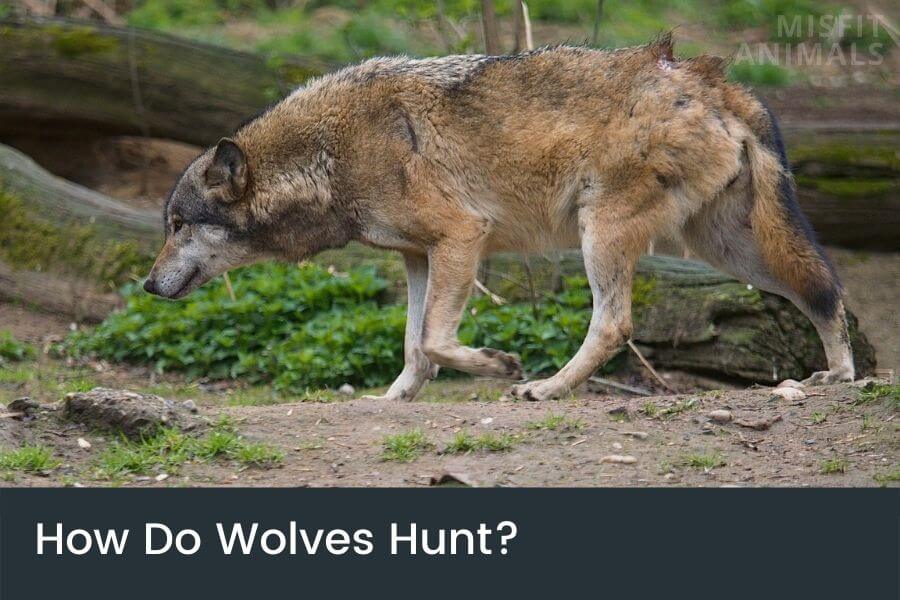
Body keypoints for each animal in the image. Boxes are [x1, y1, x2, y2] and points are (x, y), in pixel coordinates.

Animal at [143, 35, 855, 401]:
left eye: (178, 225)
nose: (148, 285)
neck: (328, 154)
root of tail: (713, 78)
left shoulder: (462, 238)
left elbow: (435, 340)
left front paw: (499, 364)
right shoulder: (418, 257)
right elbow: (414, 346)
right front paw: (394, 399)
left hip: (604, 235)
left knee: (615, 323)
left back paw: (544, 389)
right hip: (729, 248)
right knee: (825, 289)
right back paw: (839, 376)